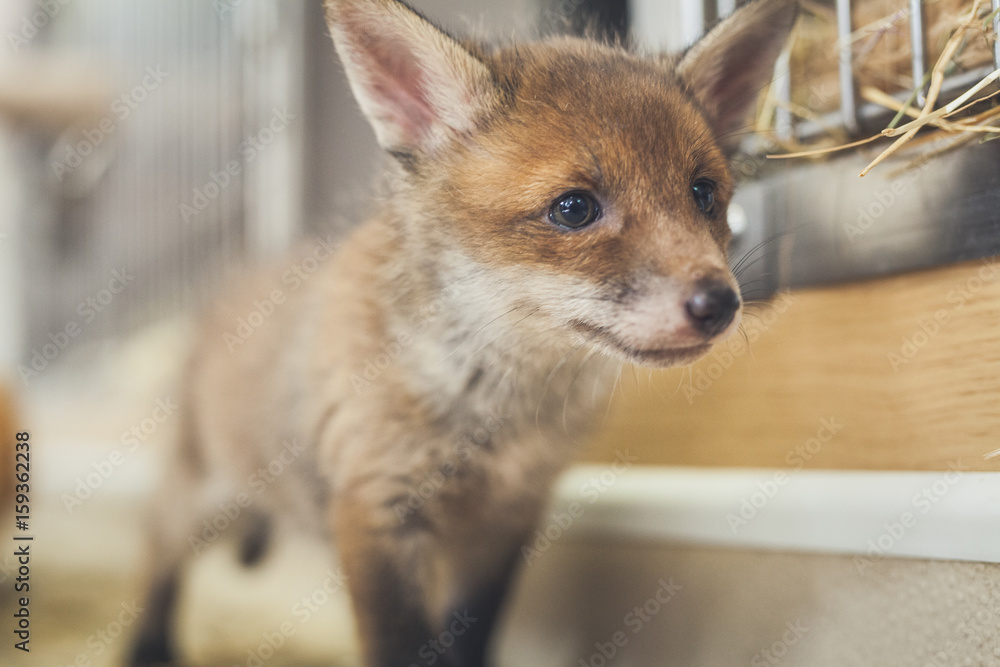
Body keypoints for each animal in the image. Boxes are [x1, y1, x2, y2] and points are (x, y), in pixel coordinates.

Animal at [128, 0, 797, 665]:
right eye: (574, 209)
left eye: (703, 194)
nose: (720, 304)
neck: (495, 413)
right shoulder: (375, 509)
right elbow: (401, 644)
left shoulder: (506, 521)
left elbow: (468, 634)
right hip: (199, 500)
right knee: (157, 556)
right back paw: (148, 644)